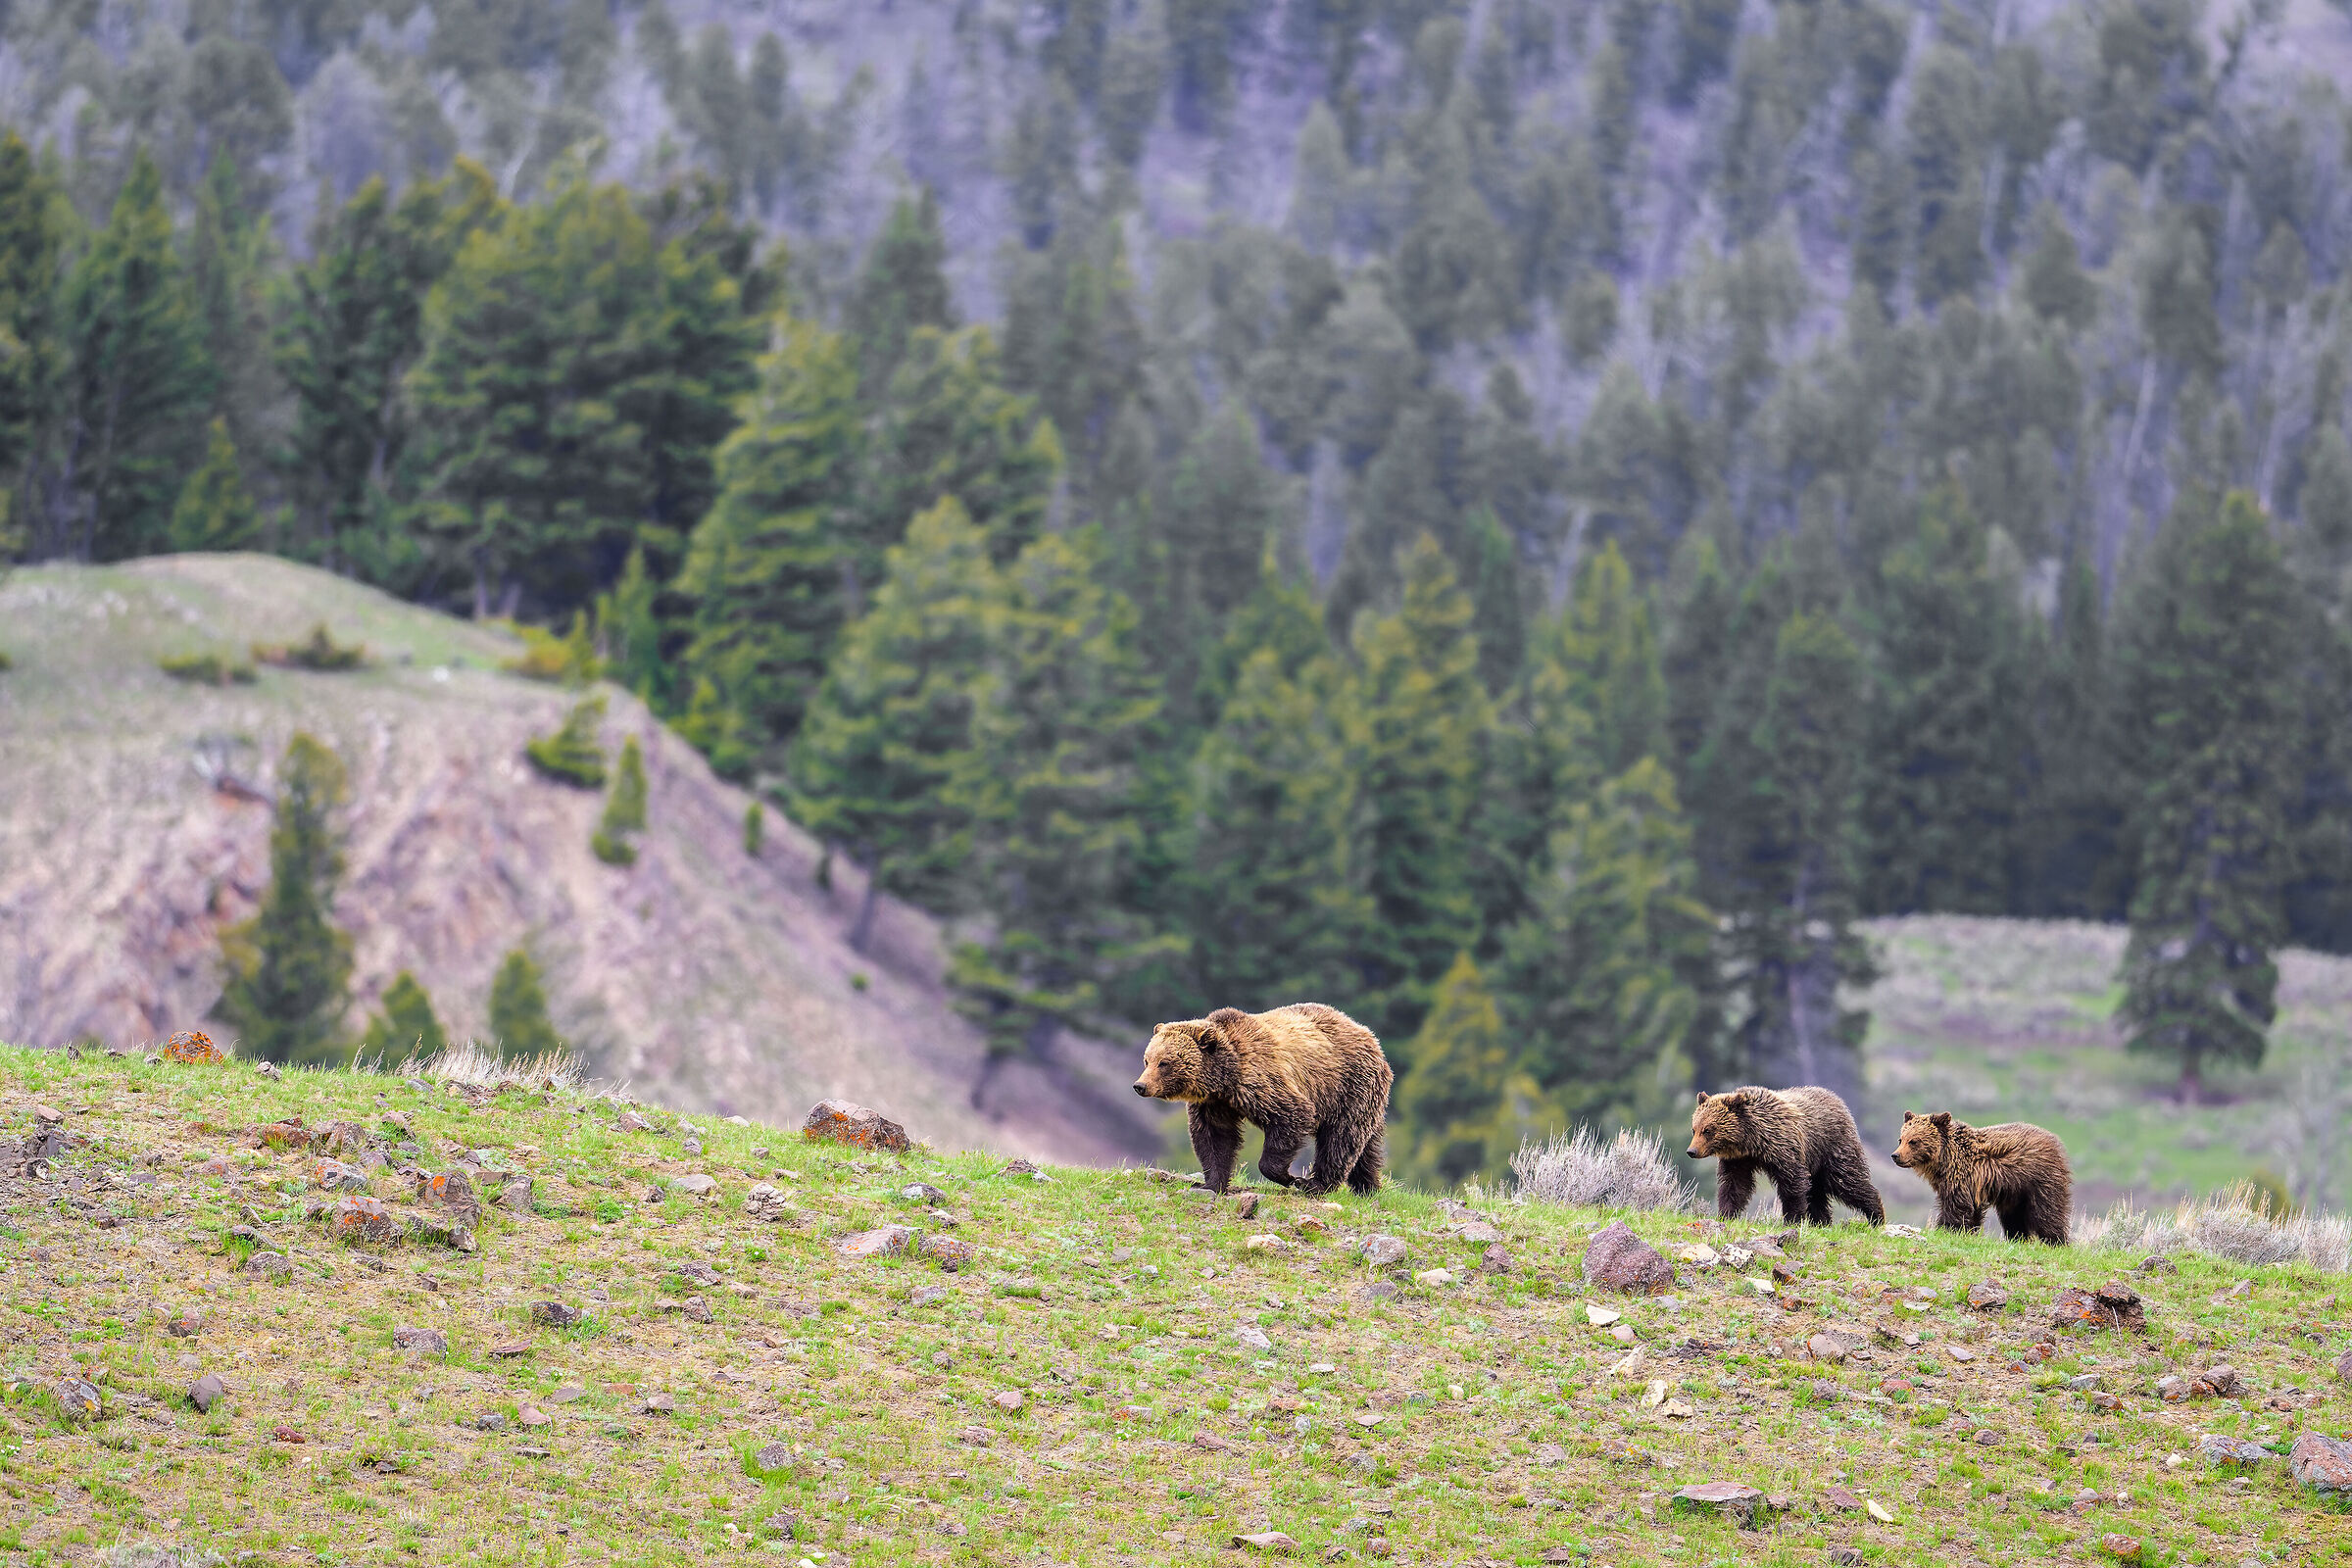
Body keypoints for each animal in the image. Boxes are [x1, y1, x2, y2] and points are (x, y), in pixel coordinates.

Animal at [1132, 1004, 1392, 1197]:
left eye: (1164, 1063)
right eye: (1147, 1059)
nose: (1140, 1086)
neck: (1226, 1077)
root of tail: (1369, 1034)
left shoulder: (1263, 1082)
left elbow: (1292, 1116)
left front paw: (1289, 1177)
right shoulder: (1215, 1104)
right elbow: (1215, 1138)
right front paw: (1211, 1184)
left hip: (1347, 1085)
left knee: (1340, 1138)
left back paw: (1316, 1184)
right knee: (1366, 1145)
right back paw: (1368, 1187)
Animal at [1686, 1086, 1886, 1226]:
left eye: (1708, 1130)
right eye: (1694, 1129)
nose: (1691, 1151)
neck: (1751, 1140)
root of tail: (1838, 1101)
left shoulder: (1783, 1147)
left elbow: (1792, 1182)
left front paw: (1792, 1218)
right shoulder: (1738, 1160)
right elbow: (1734, 1185)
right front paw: (1726, 1214)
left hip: (1832, 1148)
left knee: (1848, 1181)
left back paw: (1876, 1216)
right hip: (1815, 1161)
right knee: (1817, 1192)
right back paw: (1822, 1222)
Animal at [1892, 1111, 2071, 1245]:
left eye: (1914, 1141)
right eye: (1901, 1139)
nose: (1896, 1155)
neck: (1944, 1161)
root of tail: (2055, 1141)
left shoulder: (1961, 1177)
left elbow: (1956, 1207)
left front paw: (1945, 1229)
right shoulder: (1966, 1184)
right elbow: (1971, 1212)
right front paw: (1968, 1232)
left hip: (2040, 1180)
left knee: (2047, 1212)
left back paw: (2056, 1241)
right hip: (2015, 1192)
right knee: (2014, 1217)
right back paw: (2018, 1238)